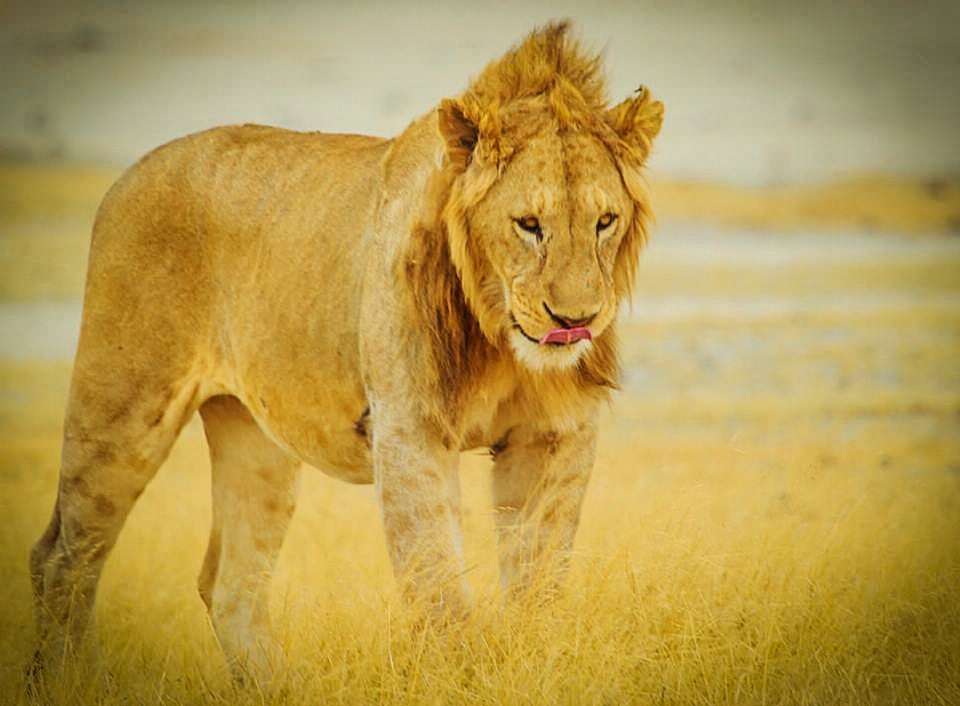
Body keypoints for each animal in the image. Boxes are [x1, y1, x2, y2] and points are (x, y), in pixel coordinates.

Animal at [28, 22, 660, 680]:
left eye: (605, 221)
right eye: (529, 224)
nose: (576, 320)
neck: (502, 342)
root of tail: (128, 173)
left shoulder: (554, 436)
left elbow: (539, 579)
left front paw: (534, 664)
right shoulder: (409, 431)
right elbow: (437, 582)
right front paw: (461, 677)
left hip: (255, 441)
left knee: (229, 583)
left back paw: (276, 687)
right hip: (123, 409)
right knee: (62, 557)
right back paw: (74, 679)